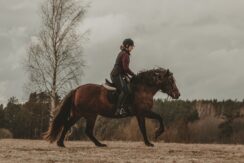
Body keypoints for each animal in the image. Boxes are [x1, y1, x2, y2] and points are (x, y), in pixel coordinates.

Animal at [43, 68, 180, 148]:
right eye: (171, 81)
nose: (178, 94)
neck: (143, 89)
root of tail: (77, 89)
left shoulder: (139, 114)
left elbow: (143, 128)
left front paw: (148, 142)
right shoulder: (143, 112)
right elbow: (158, 118)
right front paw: (156, 134)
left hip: (86, 114)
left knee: (84, 130)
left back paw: (98, 144)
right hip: (84, 114)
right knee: (72, 126)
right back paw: (62, 143)